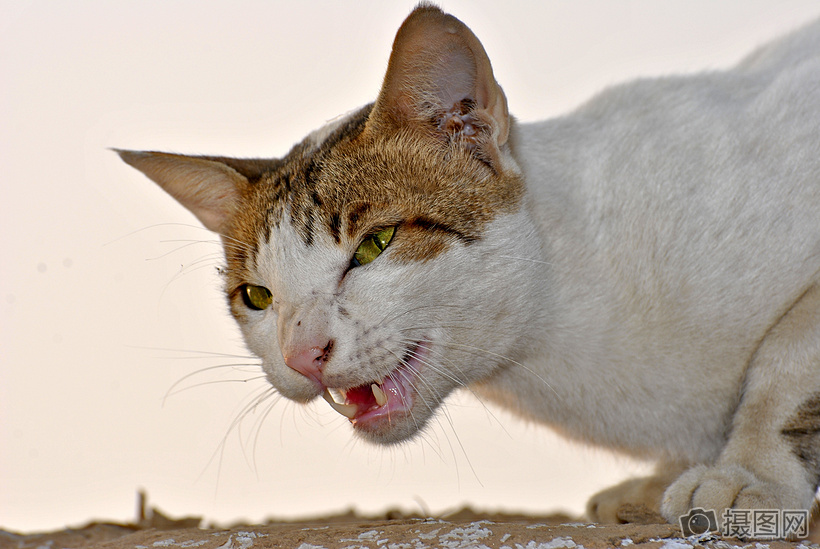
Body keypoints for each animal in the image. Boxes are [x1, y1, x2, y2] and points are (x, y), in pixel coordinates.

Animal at [115, 3, 820, 528]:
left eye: (374, 244)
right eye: (257, 297)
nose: (301, 355)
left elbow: (783, 368)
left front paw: (747, 474)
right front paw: (662, 481)